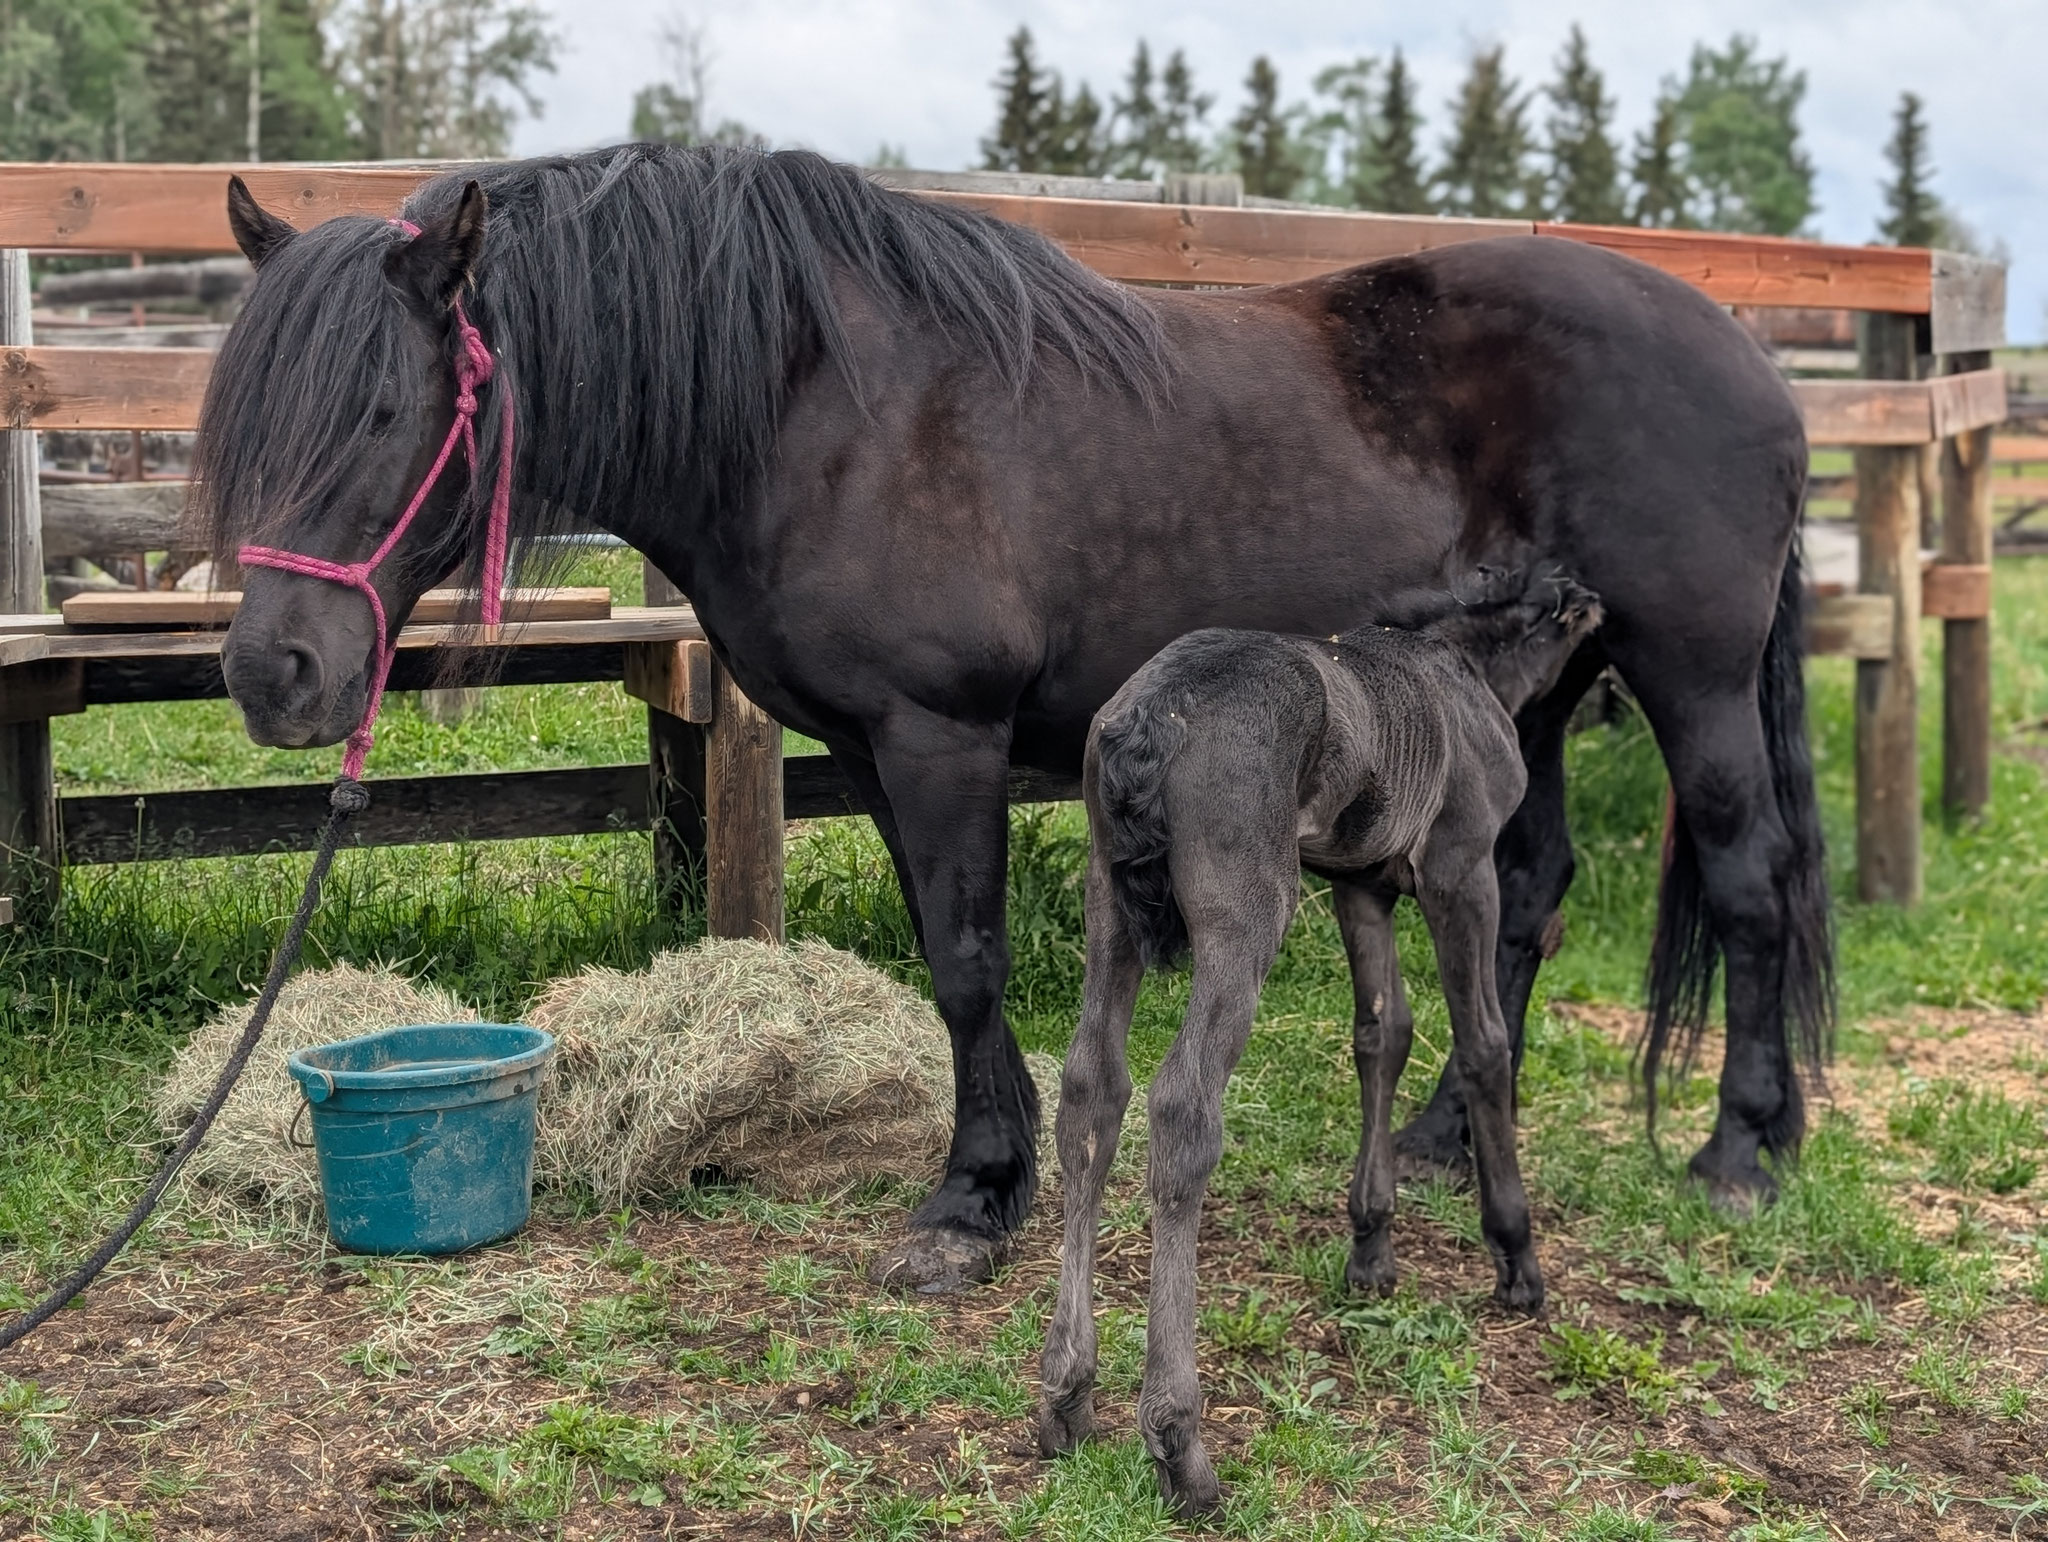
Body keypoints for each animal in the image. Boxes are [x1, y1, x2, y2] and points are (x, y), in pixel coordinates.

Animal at [199, 143, 1831, 1293]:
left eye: (387, 415)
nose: (274, 676)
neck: (815, 402)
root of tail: (1751, 361)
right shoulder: (868, 748)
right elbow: (943, 955)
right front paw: (992, 1175)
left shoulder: (942, 733)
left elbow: (972, 960)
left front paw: (975, 1197)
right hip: (1515, 699)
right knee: (1525, 888)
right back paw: (1440, 1138)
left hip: (1686, 676)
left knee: (1752, 881)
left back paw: (1743, 1149)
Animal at [1040, 569, 1603, 1513]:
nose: (1608, 699)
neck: (1462, 664)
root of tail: (1148, 717)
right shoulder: (1462, 870)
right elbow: (1482, 1042)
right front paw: (1517, 1259)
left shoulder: (1361, 886)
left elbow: (1383, 1032)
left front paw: (1371, 1246)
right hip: (1248, 912)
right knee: (1183, 1107)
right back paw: (1180, 1444)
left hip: (1106, 906)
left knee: (1092, 1091)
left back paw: (1066, 1397)